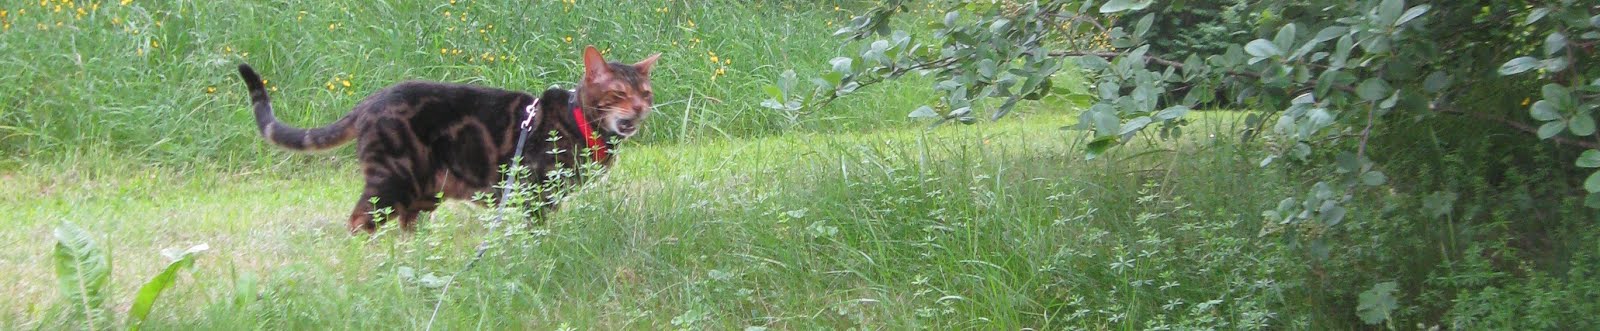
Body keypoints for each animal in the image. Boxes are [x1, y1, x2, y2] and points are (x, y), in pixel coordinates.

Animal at [233, 45, 659, 233]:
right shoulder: (534, 192)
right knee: (358, 221)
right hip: (393, 179)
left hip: (424, 189)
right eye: (620, 93)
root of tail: (371, 100)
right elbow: (535, 231)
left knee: (407, 225)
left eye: (645, 93)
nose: (640, 109)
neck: (577, 122)